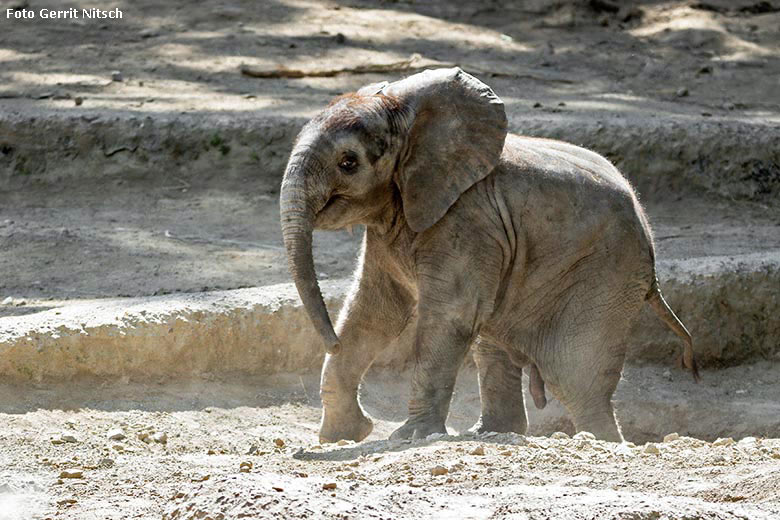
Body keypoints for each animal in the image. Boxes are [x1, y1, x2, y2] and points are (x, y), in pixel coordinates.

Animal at [282, 68, 700, 442]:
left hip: (607, 273)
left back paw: (598, 441)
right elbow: (373, 311)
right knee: (494, 343)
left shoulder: (467, 221)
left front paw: (407, 437)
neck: (403, 112)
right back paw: (491, 432)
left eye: (348, 163)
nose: (330, 342)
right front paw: (341, 436)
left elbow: (449, 316)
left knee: (575, 377)